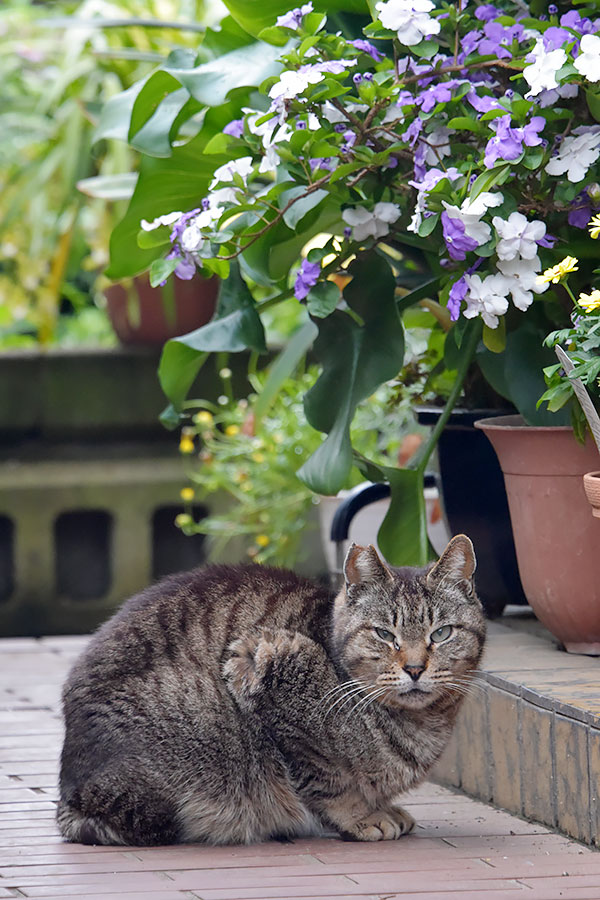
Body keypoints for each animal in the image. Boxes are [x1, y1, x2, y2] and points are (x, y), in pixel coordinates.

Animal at [58, 536, 486, 844]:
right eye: (384, 634)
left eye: (441, 634)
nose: (414, 668)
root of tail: (69, 794)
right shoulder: (263, 662)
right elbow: (328, 779)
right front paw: (363, 816)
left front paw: (384, 807)